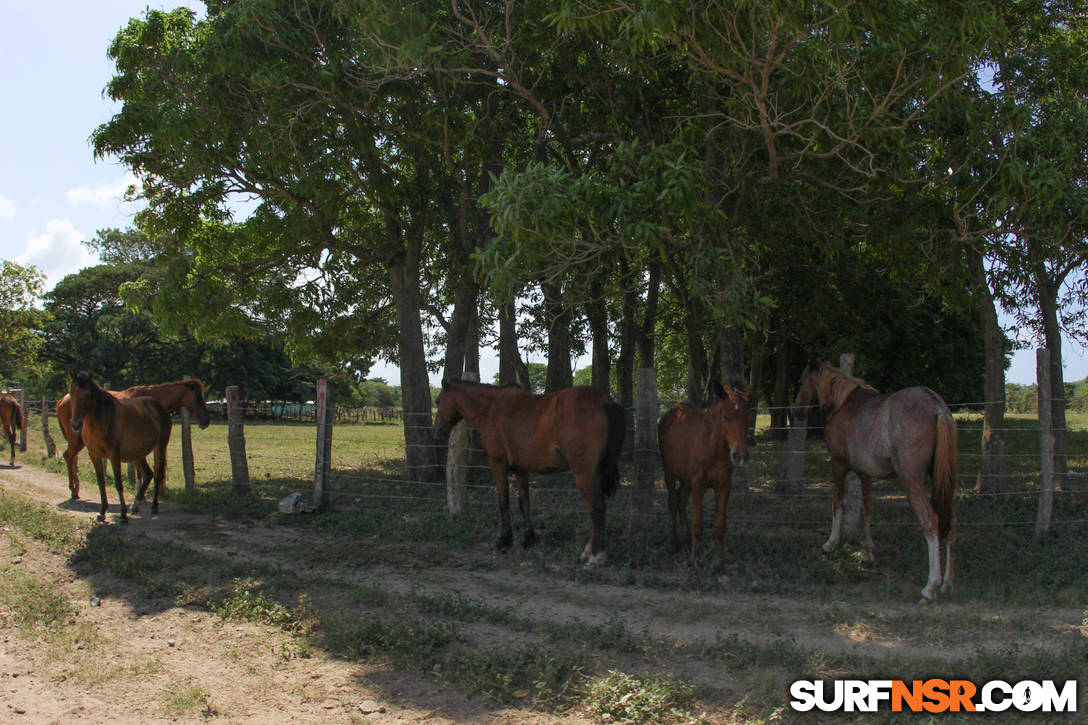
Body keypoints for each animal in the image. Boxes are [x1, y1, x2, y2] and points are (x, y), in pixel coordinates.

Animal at [56, 374, 209, 500]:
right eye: (198, 397)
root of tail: (62, 400)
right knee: (68, 456)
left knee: (70, 457)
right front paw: (139, 493)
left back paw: (76, 488)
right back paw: (73, 489)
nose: (206, 421)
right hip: (77, 441)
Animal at [66, 372, 171, 520]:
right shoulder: (94, 455)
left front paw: (122, 515)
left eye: (87, 394)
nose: (75, 424)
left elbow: (118, 484)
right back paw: (135, 506)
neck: (102, 421)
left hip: (160, 447)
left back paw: (154, 507)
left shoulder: (114, 455)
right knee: (148, 474)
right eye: (71, 392)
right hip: (137, 454)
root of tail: (159, 408)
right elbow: (101, 483)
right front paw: (102, 512)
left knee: (157, 474)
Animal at [430, 378, 626, 566]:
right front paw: (528, 538)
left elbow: (504, 502)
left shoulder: (497, 464)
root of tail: (604, 401)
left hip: (584, 474)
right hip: (594, 473)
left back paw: (596, 556)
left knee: (597, 508)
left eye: (438, 401)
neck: (492, 408)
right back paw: (587, 552)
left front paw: (504, 541)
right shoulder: (521, 469)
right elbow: (524, 503)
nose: (437, 432)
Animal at [652, 381, 757, 574]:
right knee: (673, 501)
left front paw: (718, 564)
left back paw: (686, 539)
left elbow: (720, 526)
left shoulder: (724, 486)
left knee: (681, 500)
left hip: (686, 479)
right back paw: (676, 542)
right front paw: (693, 561)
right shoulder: (698, 484)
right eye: (726, 416)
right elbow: (698, 524)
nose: (740, 455)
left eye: (747, 416)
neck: (713, 447)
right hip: (669, 472)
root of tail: (670, 413)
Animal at [796, 359, 957, 600]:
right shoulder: (865, 473)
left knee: (931, 522)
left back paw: (931, 586)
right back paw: (947, 583)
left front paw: (830, 544)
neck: (843, 403)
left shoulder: (838, 465)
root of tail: (937, 406)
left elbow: (837, 504)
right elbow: (866, 510)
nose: (795, 411)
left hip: (913, 483)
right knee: (950, 522)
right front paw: (867, 553)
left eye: (801, 382)